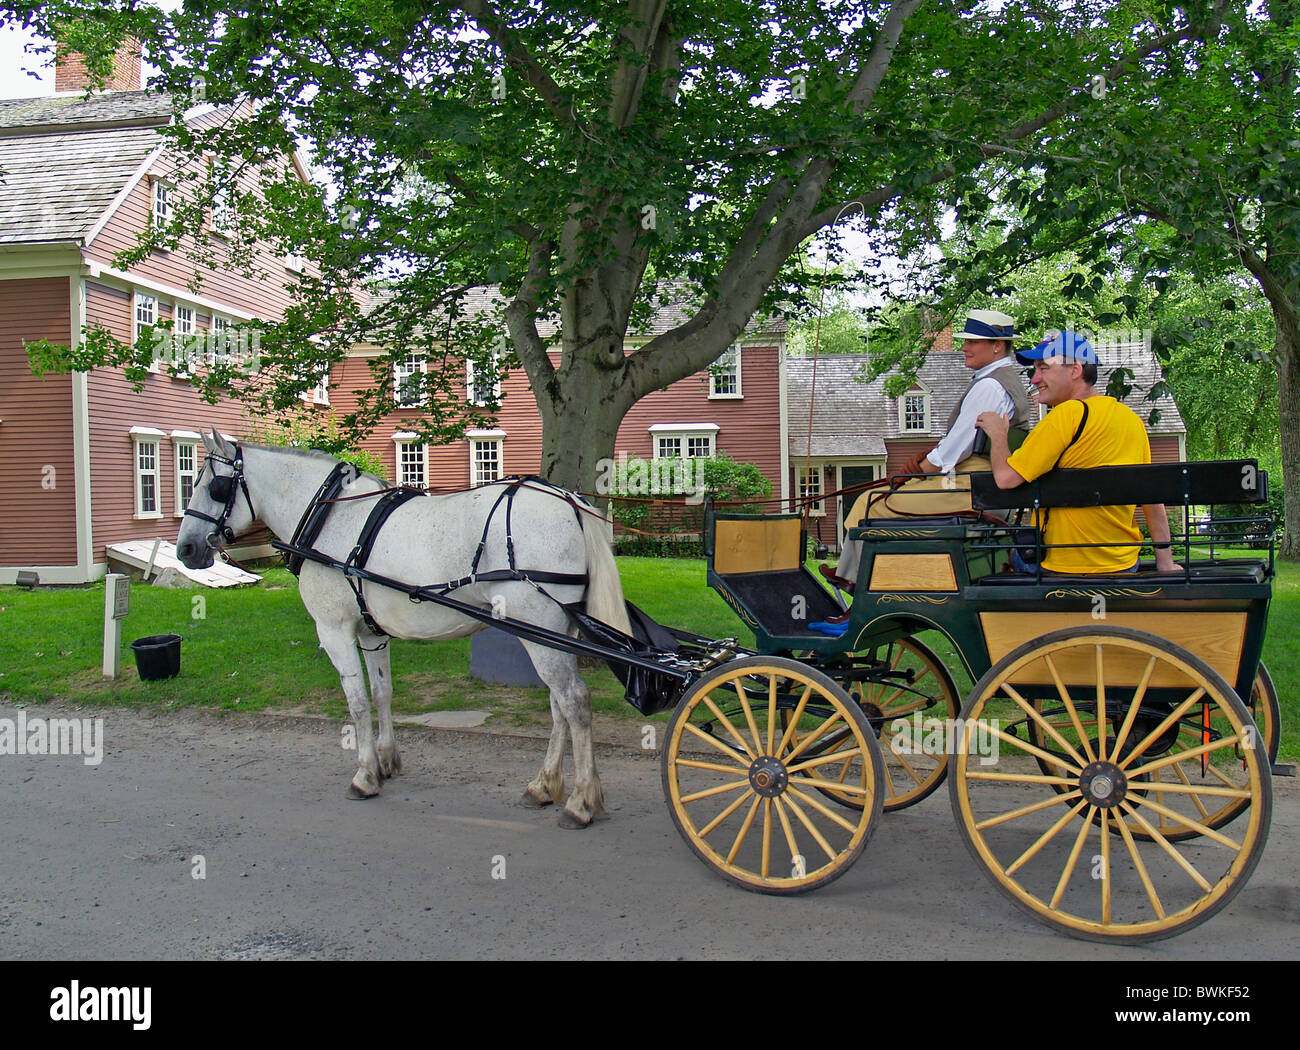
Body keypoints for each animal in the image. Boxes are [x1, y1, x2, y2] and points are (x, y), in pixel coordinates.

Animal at [175, 431, 631, 826]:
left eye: (214, 487)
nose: (186, 548)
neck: (329, 517)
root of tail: (569, 499)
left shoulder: (334, 630)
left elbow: (357, 701)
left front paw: (364, 775)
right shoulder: (371, 633)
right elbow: (382, 692)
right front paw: (386, 760)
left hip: (539, 626)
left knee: (574, 701)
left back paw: (581, 802)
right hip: (557, 630)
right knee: (558, 705)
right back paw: (544, 785)